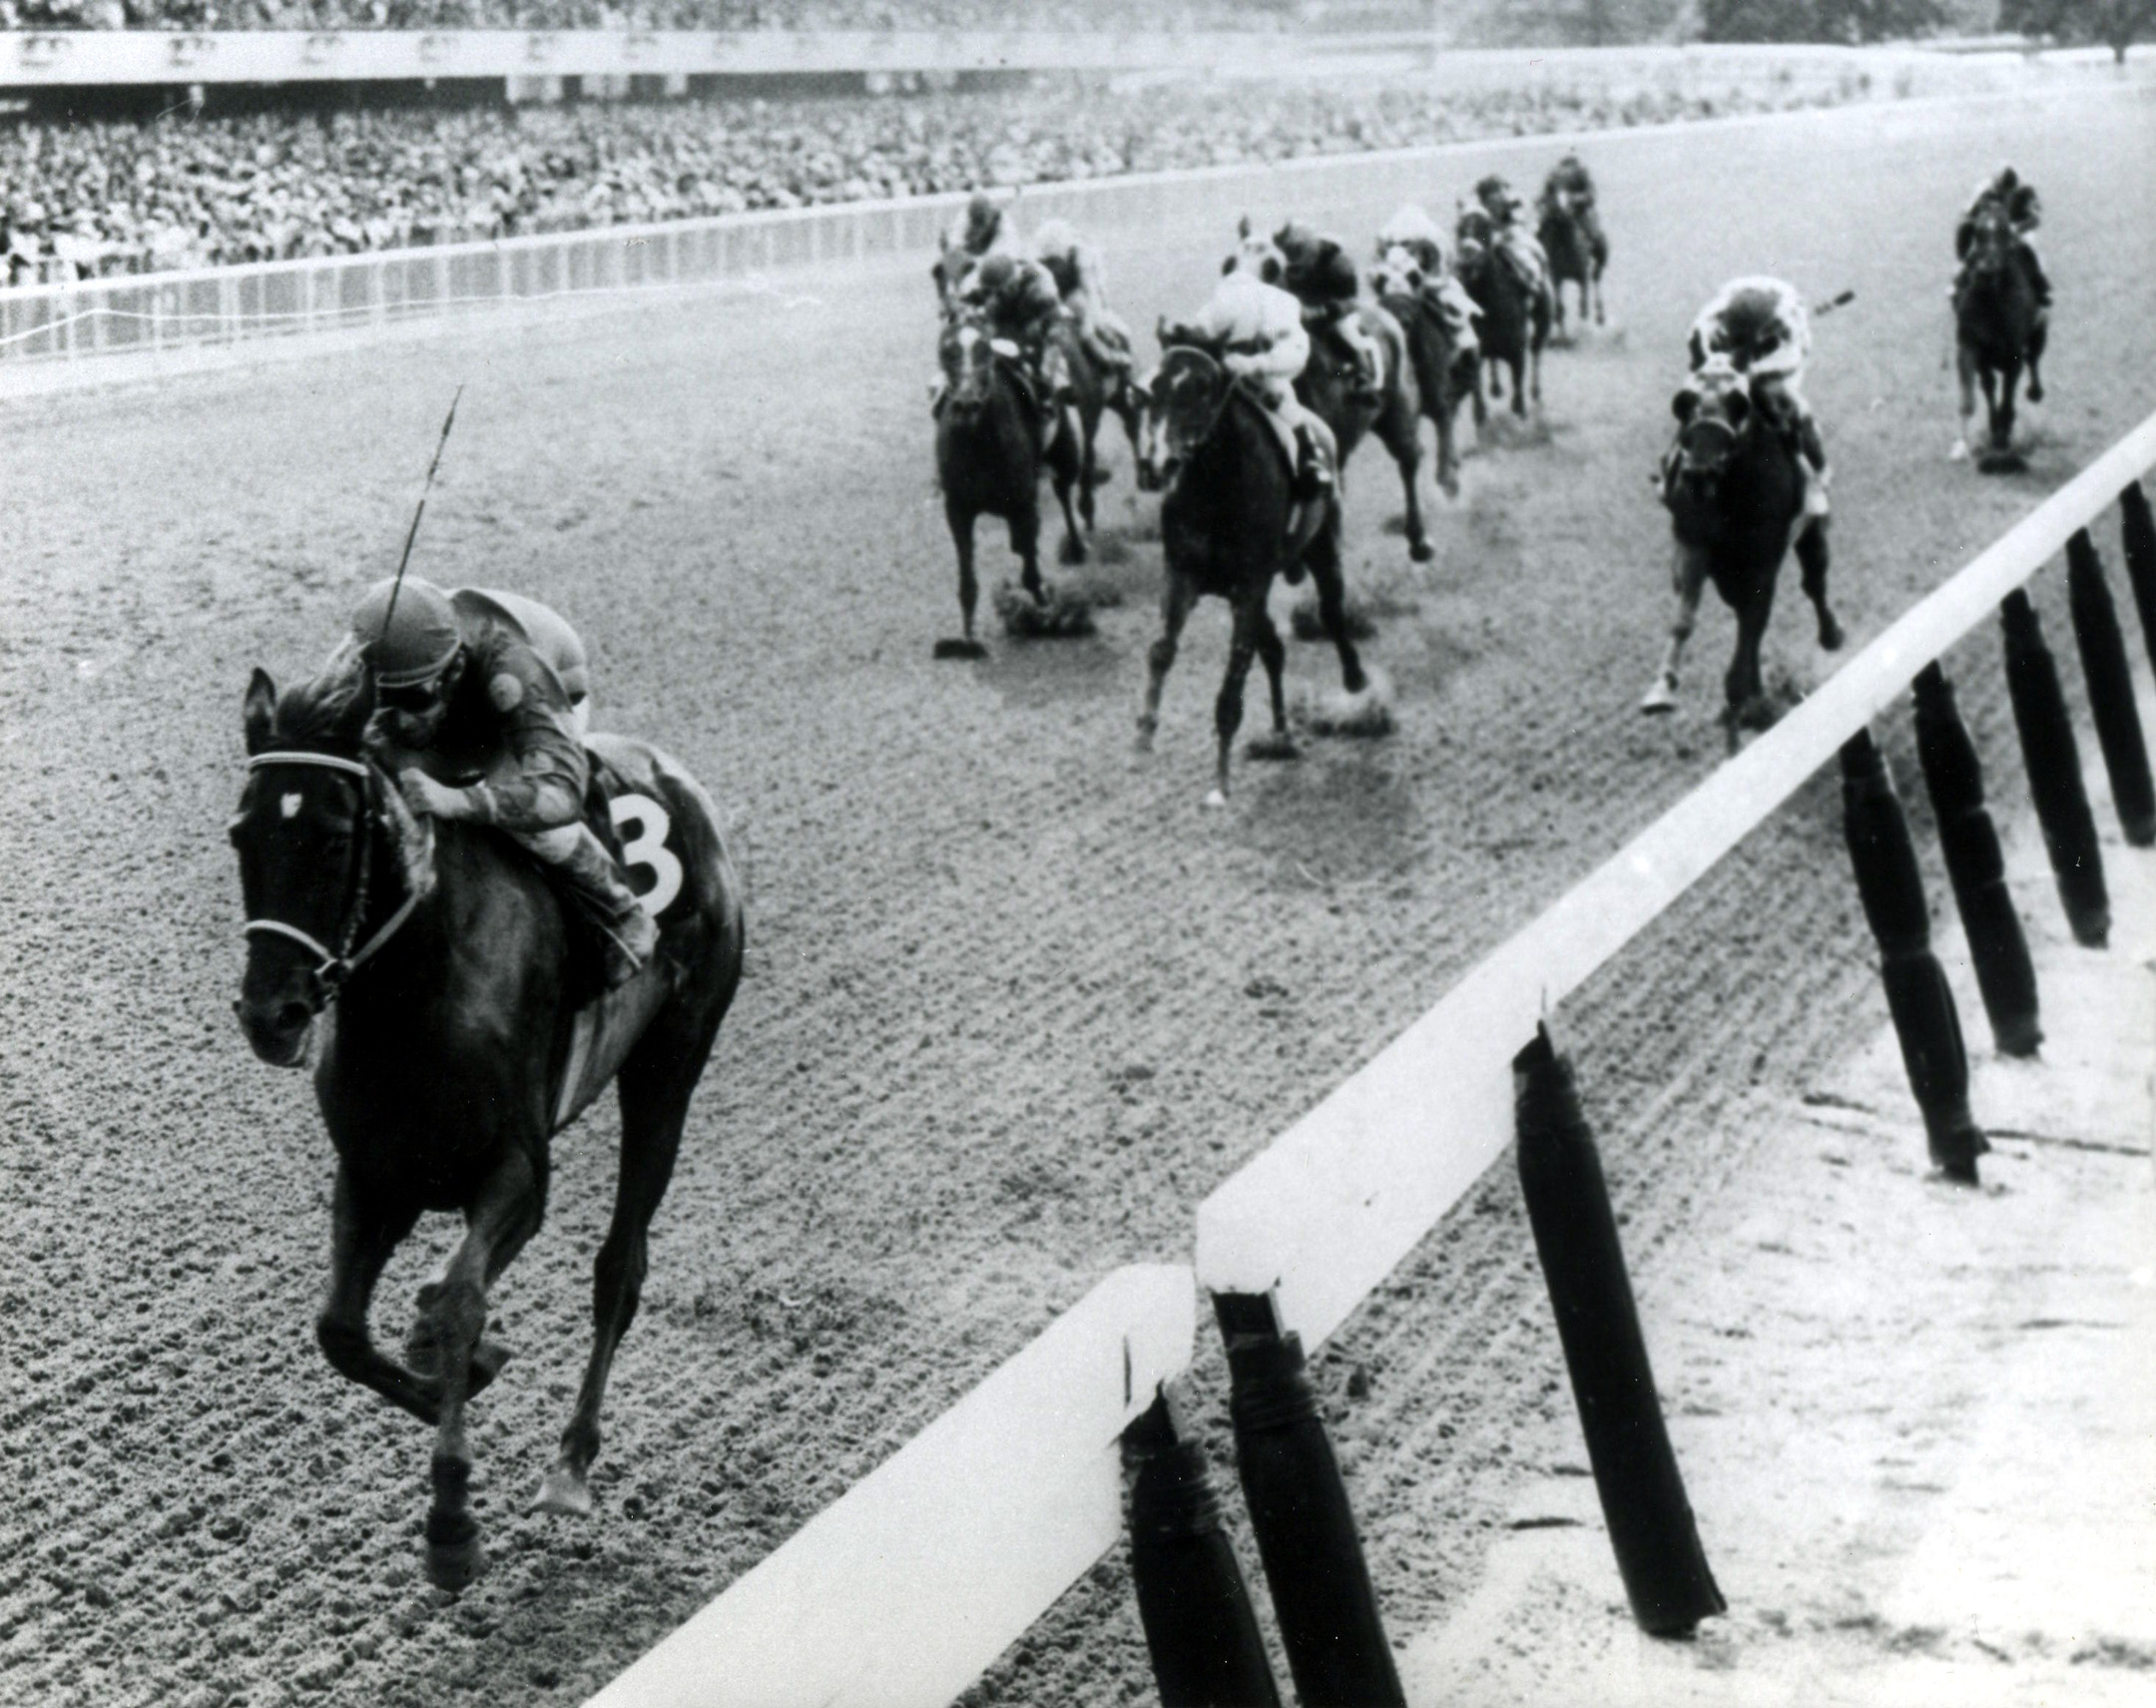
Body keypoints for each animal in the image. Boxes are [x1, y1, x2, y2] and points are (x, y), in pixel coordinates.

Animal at [228, 664, 746, 1587]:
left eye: (332, 838)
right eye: (240, 834)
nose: (270, 1013)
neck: (417, 990)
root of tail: (679, 778)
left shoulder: (517, 1172)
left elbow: (464, 1297)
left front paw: (450, 1517)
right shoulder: (374, 1174)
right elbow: (340, 1330)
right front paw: (459, 1366)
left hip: (671, 1063)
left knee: (621, 1265)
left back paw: (570, 1463)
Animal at [931, 310, 1086, 655]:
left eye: (984, 351)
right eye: (946, 351)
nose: (966, 404)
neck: (979, 442)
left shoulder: (1024, 503)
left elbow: (1031, 573)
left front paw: (1046, 611)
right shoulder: (957, 509)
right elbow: (967, 582)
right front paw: (967, 638)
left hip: (1066, 459)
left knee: (1065, 497)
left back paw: (1077, 548)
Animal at [1138, 346, 1370, 806]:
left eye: (1200, 391)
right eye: (1153, 390)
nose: (1157, 465)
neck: (1215, 492)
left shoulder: (1249, 588)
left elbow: (1231, 691)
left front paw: (1220, 783)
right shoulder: (1183, 575)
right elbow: (1161, 651)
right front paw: (1145, 733)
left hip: (1321, 547)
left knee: (1332, 613)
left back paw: (1354, 679)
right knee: (1274, 650)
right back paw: (1280, 729)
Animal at [1638, 364, 1845, 742]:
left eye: (1739, 404)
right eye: (1683, 404)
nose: (1699, 471)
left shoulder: (1763, 560)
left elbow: (1753, 622)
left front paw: (1739, 697)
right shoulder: (1692, 543)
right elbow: (1685, 617)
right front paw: (1662, 689)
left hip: (1810, 528)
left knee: (1814, 581)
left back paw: (1830, 634)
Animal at [1948, 207, 2043, 474]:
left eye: (2004, 233)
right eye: (1978, 234)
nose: (1986, 268)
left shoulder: (2013, 355)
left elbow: (2008, 394)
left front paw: (2003, 432)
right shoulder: (1974, 349)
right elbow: (1986, 387)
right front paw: (1992, 430)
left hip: (2039, 330)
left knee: (2034, 359)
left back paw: (2035, 391)